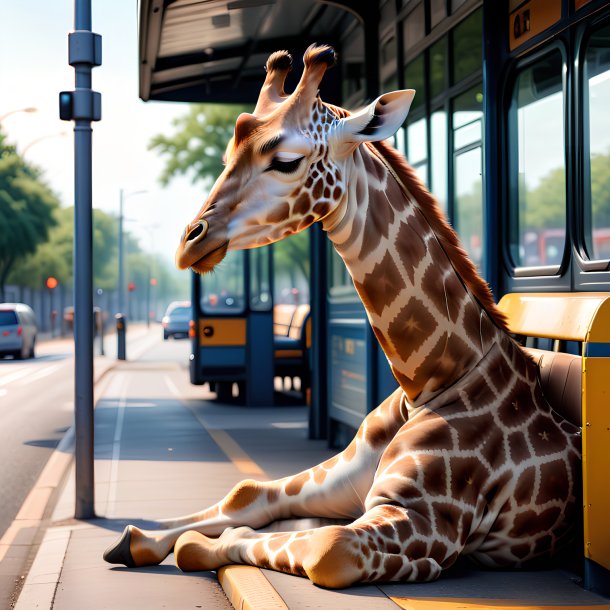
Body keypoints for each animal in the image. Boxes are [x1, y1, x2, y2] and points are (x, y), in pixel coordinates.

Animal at [104, 45, 580, 588]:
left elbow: (324, 547)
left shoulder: (427, 523)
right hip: (335, 474)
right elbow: (265, 509)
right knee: (251, 495)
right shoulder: (357, 487)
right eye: (227, 157)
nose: (190, 242)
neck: (432, 379)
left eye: (286, 161)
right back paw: (135, 537)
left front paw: (205, 544)